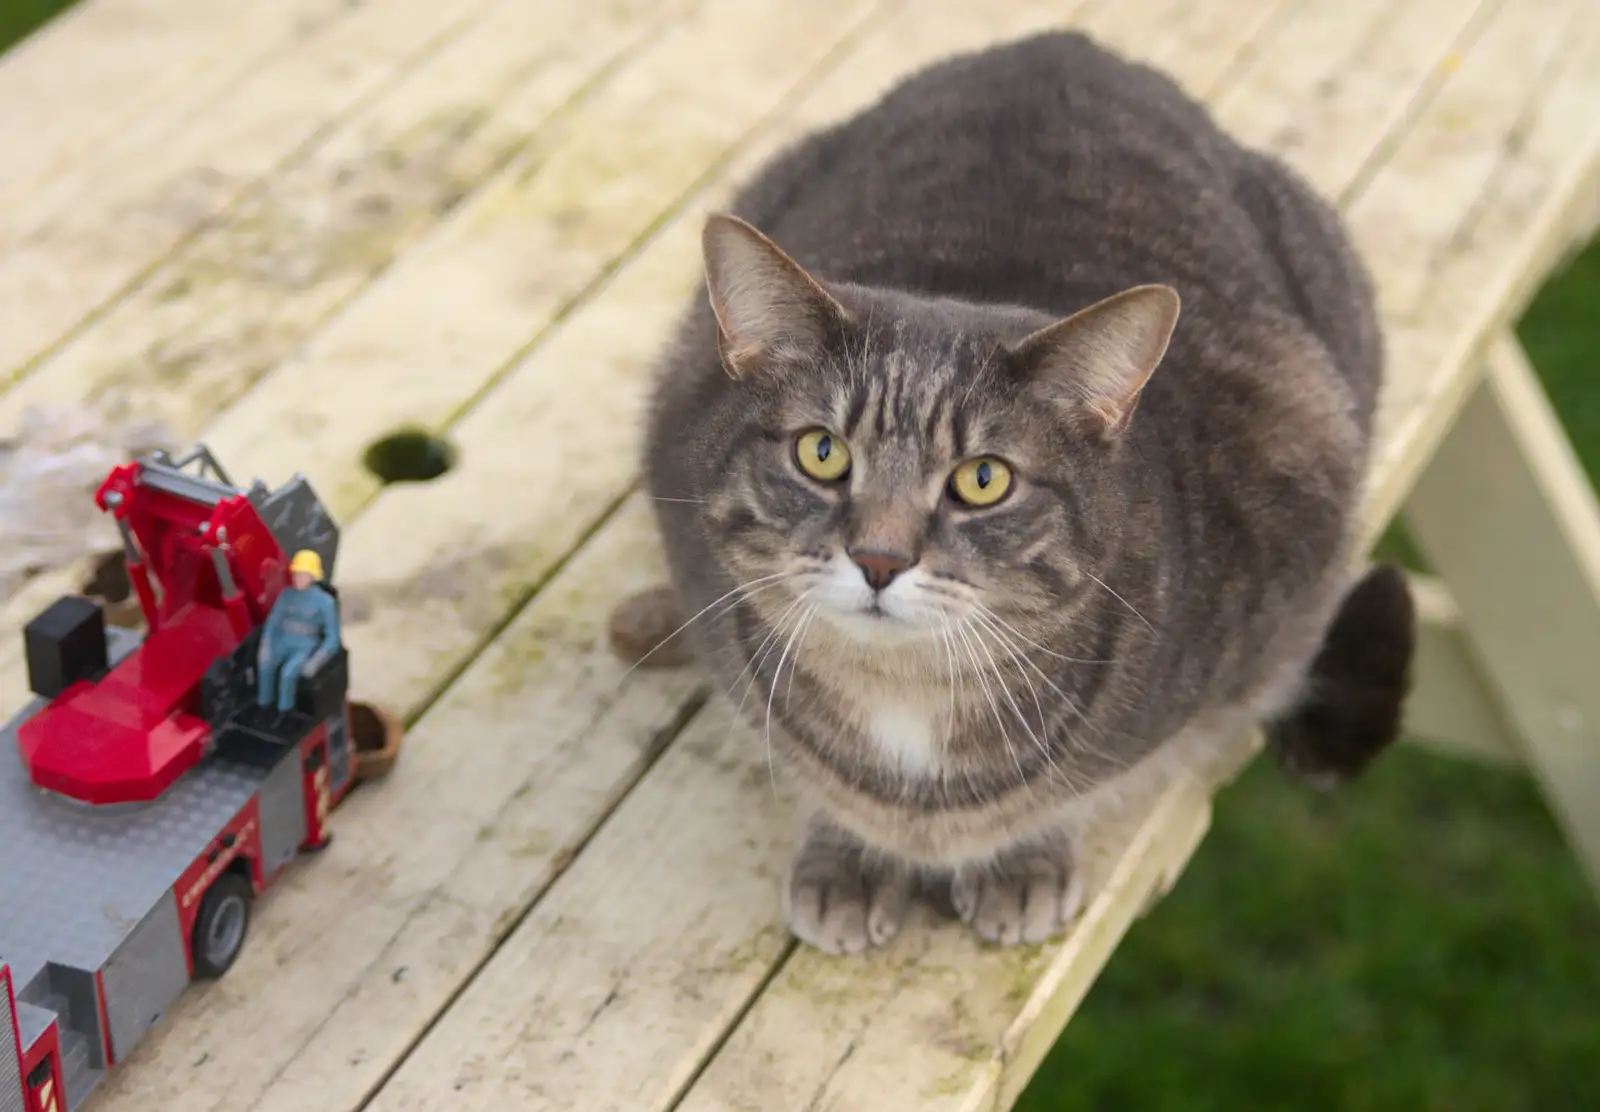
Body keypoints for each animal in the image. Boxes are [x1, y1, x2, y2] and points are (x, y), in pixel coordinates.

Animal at [620, 30, 1414, 953]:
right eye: (821, 453)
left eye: (983, 479)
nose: (879, 559)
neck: (905, 703)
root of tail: (1061, 41)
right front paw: (849, 852)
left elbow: (1077, 786)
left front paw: (1021, 856)